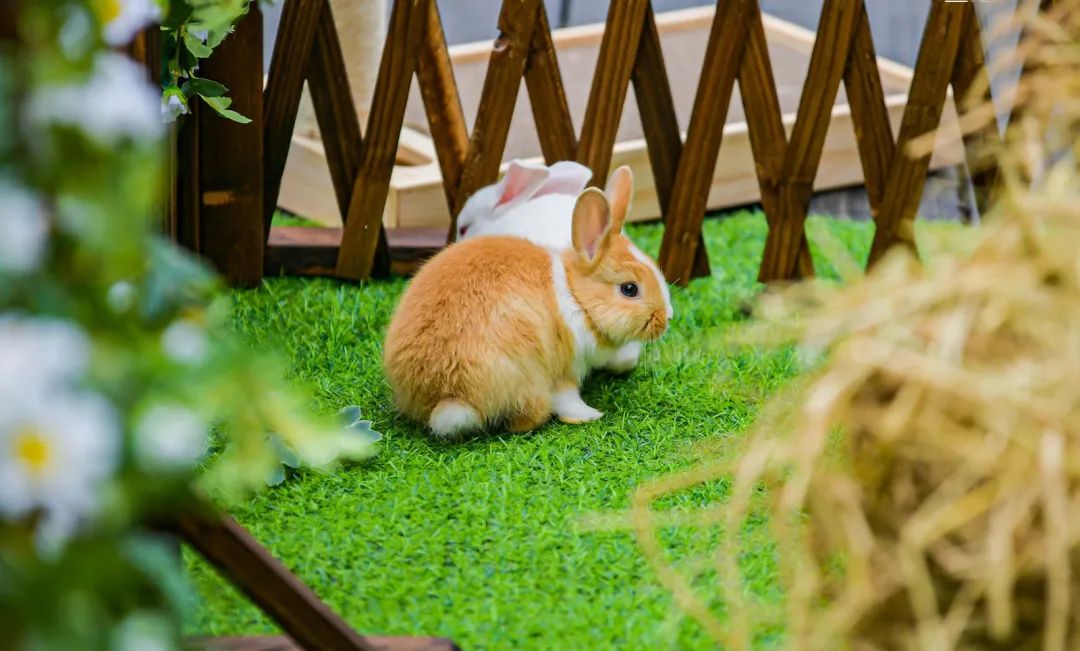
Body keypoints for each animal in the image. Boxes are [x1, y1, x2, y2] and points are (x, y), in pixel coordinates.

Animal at [380, 167, 665, 438]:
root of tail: (446, 393)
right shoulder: (565, 368)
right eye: (629, 289)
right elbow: (568, 397)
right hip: (526, 375)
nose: (666, 319)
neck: (575, 295)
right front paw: (590, 415)